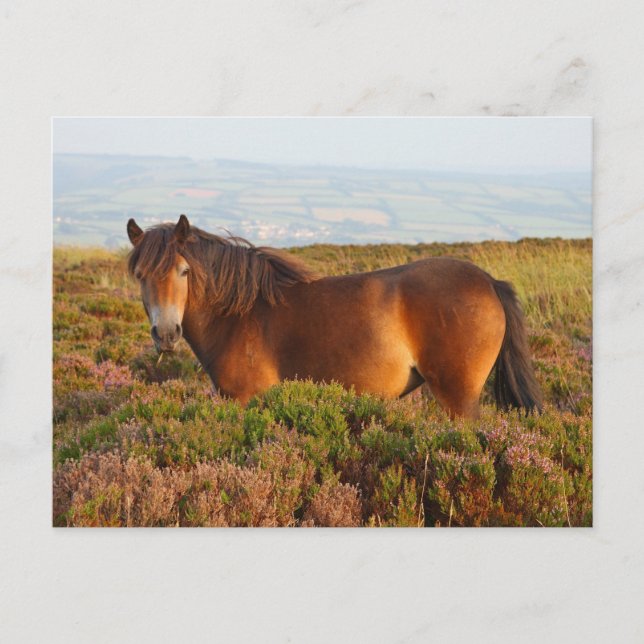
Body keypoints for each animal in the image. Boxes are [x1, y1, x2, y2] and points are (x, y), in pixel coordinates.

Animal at [126, 215, 542, 419]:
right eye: (140, 275)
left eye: (184, 271)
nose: (166, 333)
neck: (239, 316)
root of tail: (489, 282)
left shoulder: (246, 400)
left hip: (460, 399)